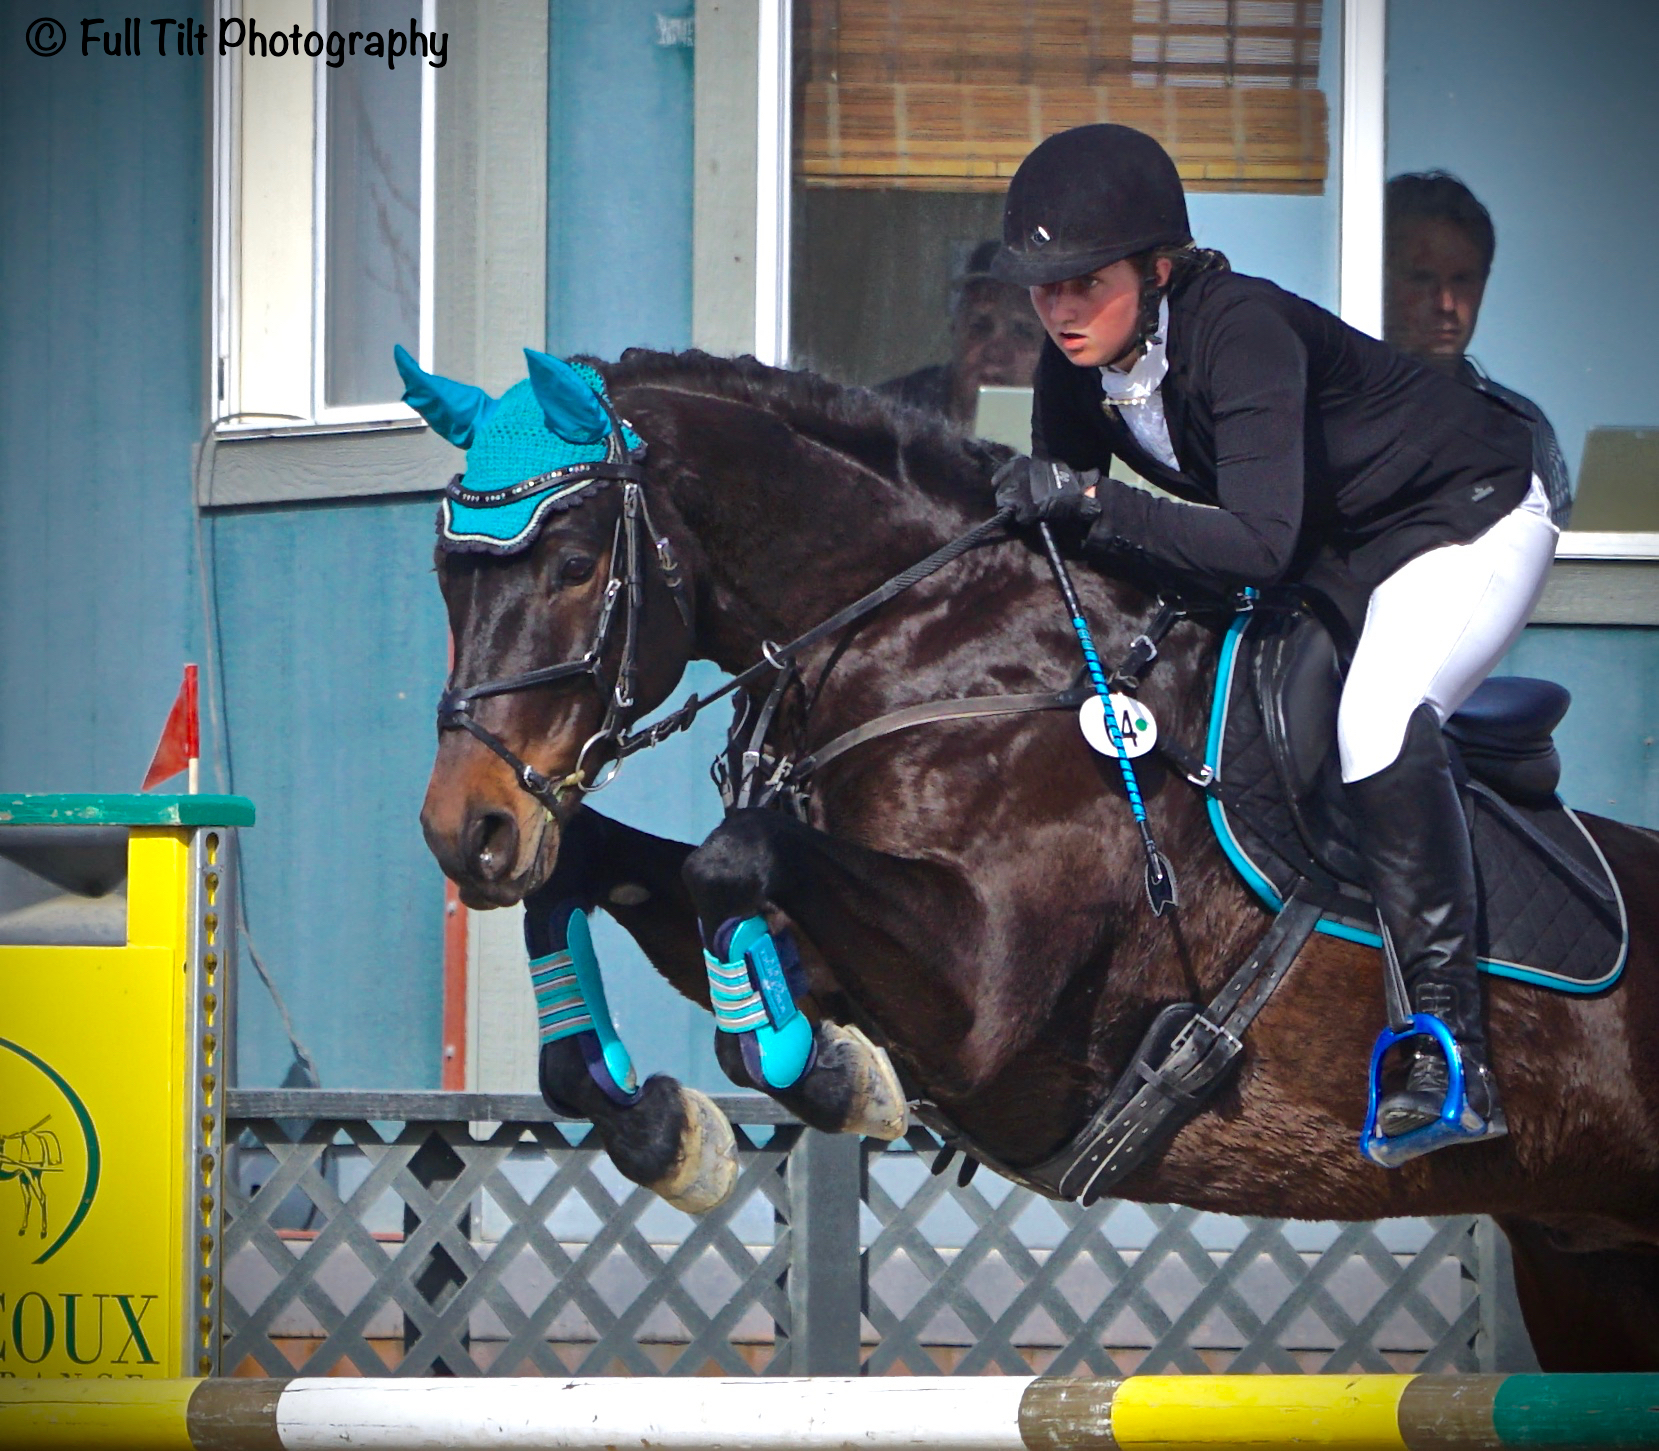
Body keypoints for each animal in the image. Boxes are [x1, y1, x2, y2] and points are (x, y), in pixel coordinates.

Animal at [418, 346, 1659, 1366]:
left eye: (574, 562)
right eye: (443, 571)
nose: (464, 827)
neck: (939, 645)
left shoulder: (987, 995)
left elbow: (731, 865)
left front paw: (827, 1077)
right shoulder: (835, 943)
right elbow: (615, 876)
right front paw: (663, 1124)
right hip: (1586, 1261)